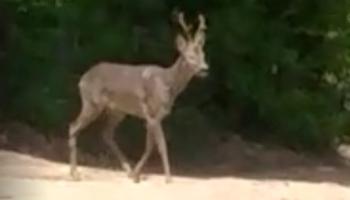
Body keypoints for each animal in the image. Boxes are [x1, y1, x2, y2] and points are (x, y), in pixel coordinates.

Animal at [69, 11, 208, 183]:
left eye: (203, 55)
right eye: (189, 56)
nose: (204, 69)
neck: (168, 83)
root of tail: (82, 79)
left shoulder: (155, 116)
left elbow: (152, 145)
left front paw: (137, 174)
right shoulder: (152, 112)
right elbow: (159, 145)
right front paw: (167, 178)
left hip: (117, 110)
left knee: (106, 134)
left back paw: (127, 170)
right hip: (92, 103)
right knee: (73, 127)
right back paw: (74, 174)